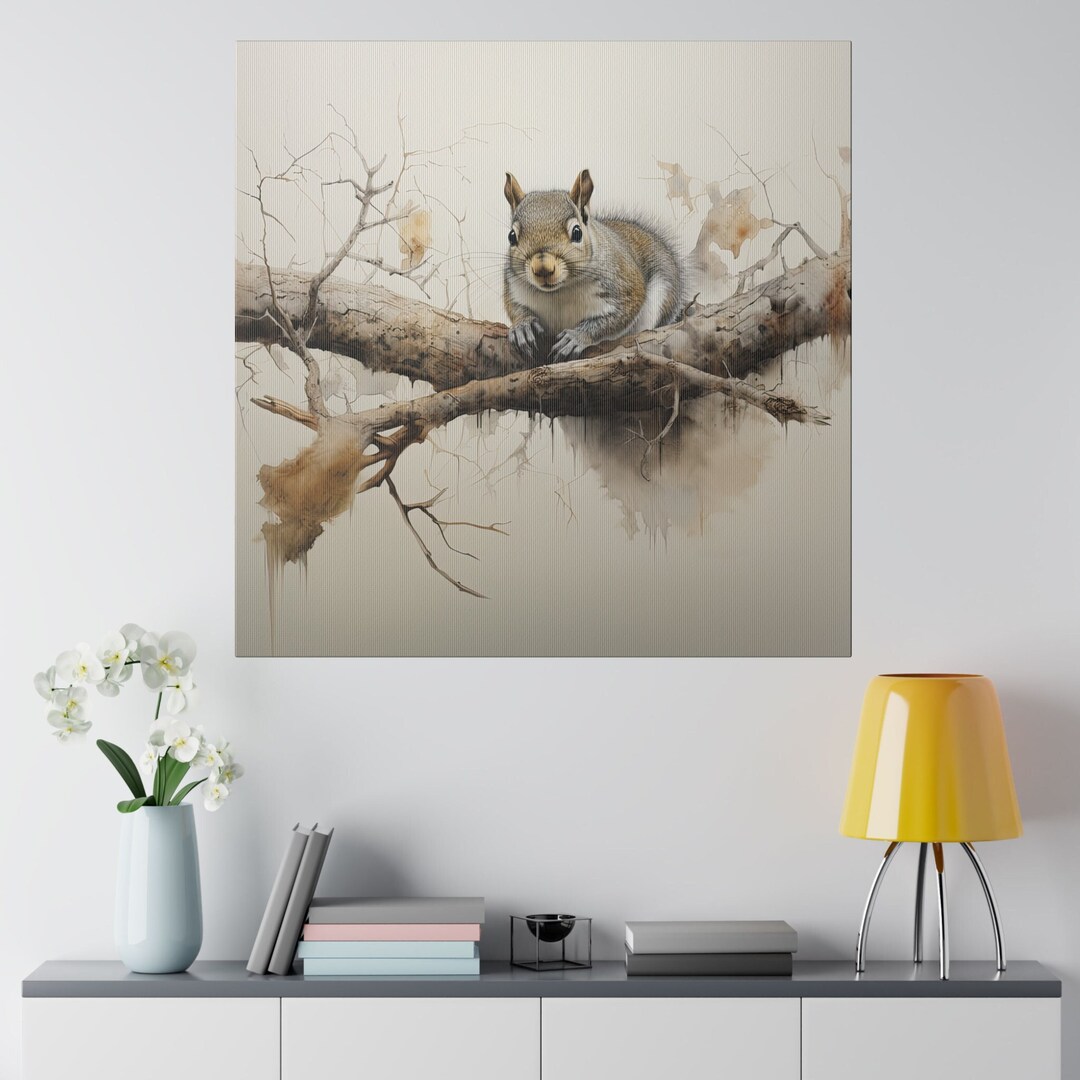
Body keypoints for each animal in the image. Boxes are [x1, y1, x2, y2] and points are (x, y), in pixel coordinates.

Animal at [503, 169, 685, 364]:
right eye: (511, 236)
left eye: (577, 232)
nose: (542, 269)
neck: (559, 291)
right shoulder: (514, 286)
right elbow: (513, 306)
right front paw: (522, 325)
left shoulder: (624, 284)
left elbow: (620, 314)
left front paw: (577, 337)